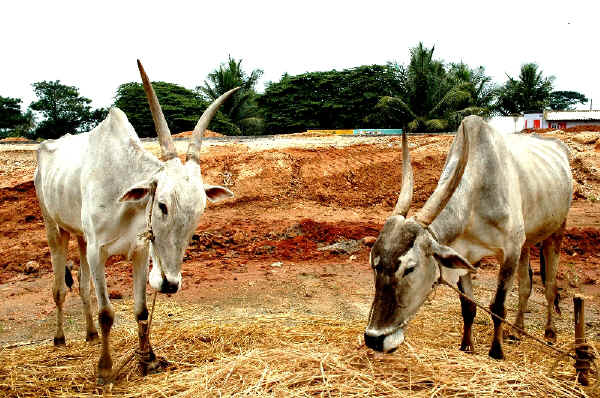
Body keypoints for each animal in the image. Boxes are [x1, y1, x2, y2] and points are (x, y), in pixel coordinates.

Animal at [34, 59, 237, 382]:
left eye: (199, 212)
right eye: (162, 205)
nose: (169, 284)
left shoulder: (140, 251)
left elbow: (141, 310)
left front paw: (148, 359)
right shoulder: (98, 252)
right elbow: (107, 313)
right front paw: (105, 369)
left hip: (80, 236)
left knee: (83, 287)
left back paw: (90, 334)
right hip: (54, 228)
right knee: (59, 289)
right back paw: (60, 338)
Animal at [364, 116, 576, 360]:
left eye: (410, 268)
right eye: (374, 265)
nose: (374, 339)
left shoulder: (509, 252)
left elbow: (498, 306)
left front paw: (496, 351)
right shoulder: (466, 256)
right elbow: (468, 306)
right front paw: (467, 345)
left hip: (556, 231)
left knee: (550, 285)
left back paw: (550, 332)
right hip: (526, 243)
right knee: (525, 285)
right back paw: (517, 330)